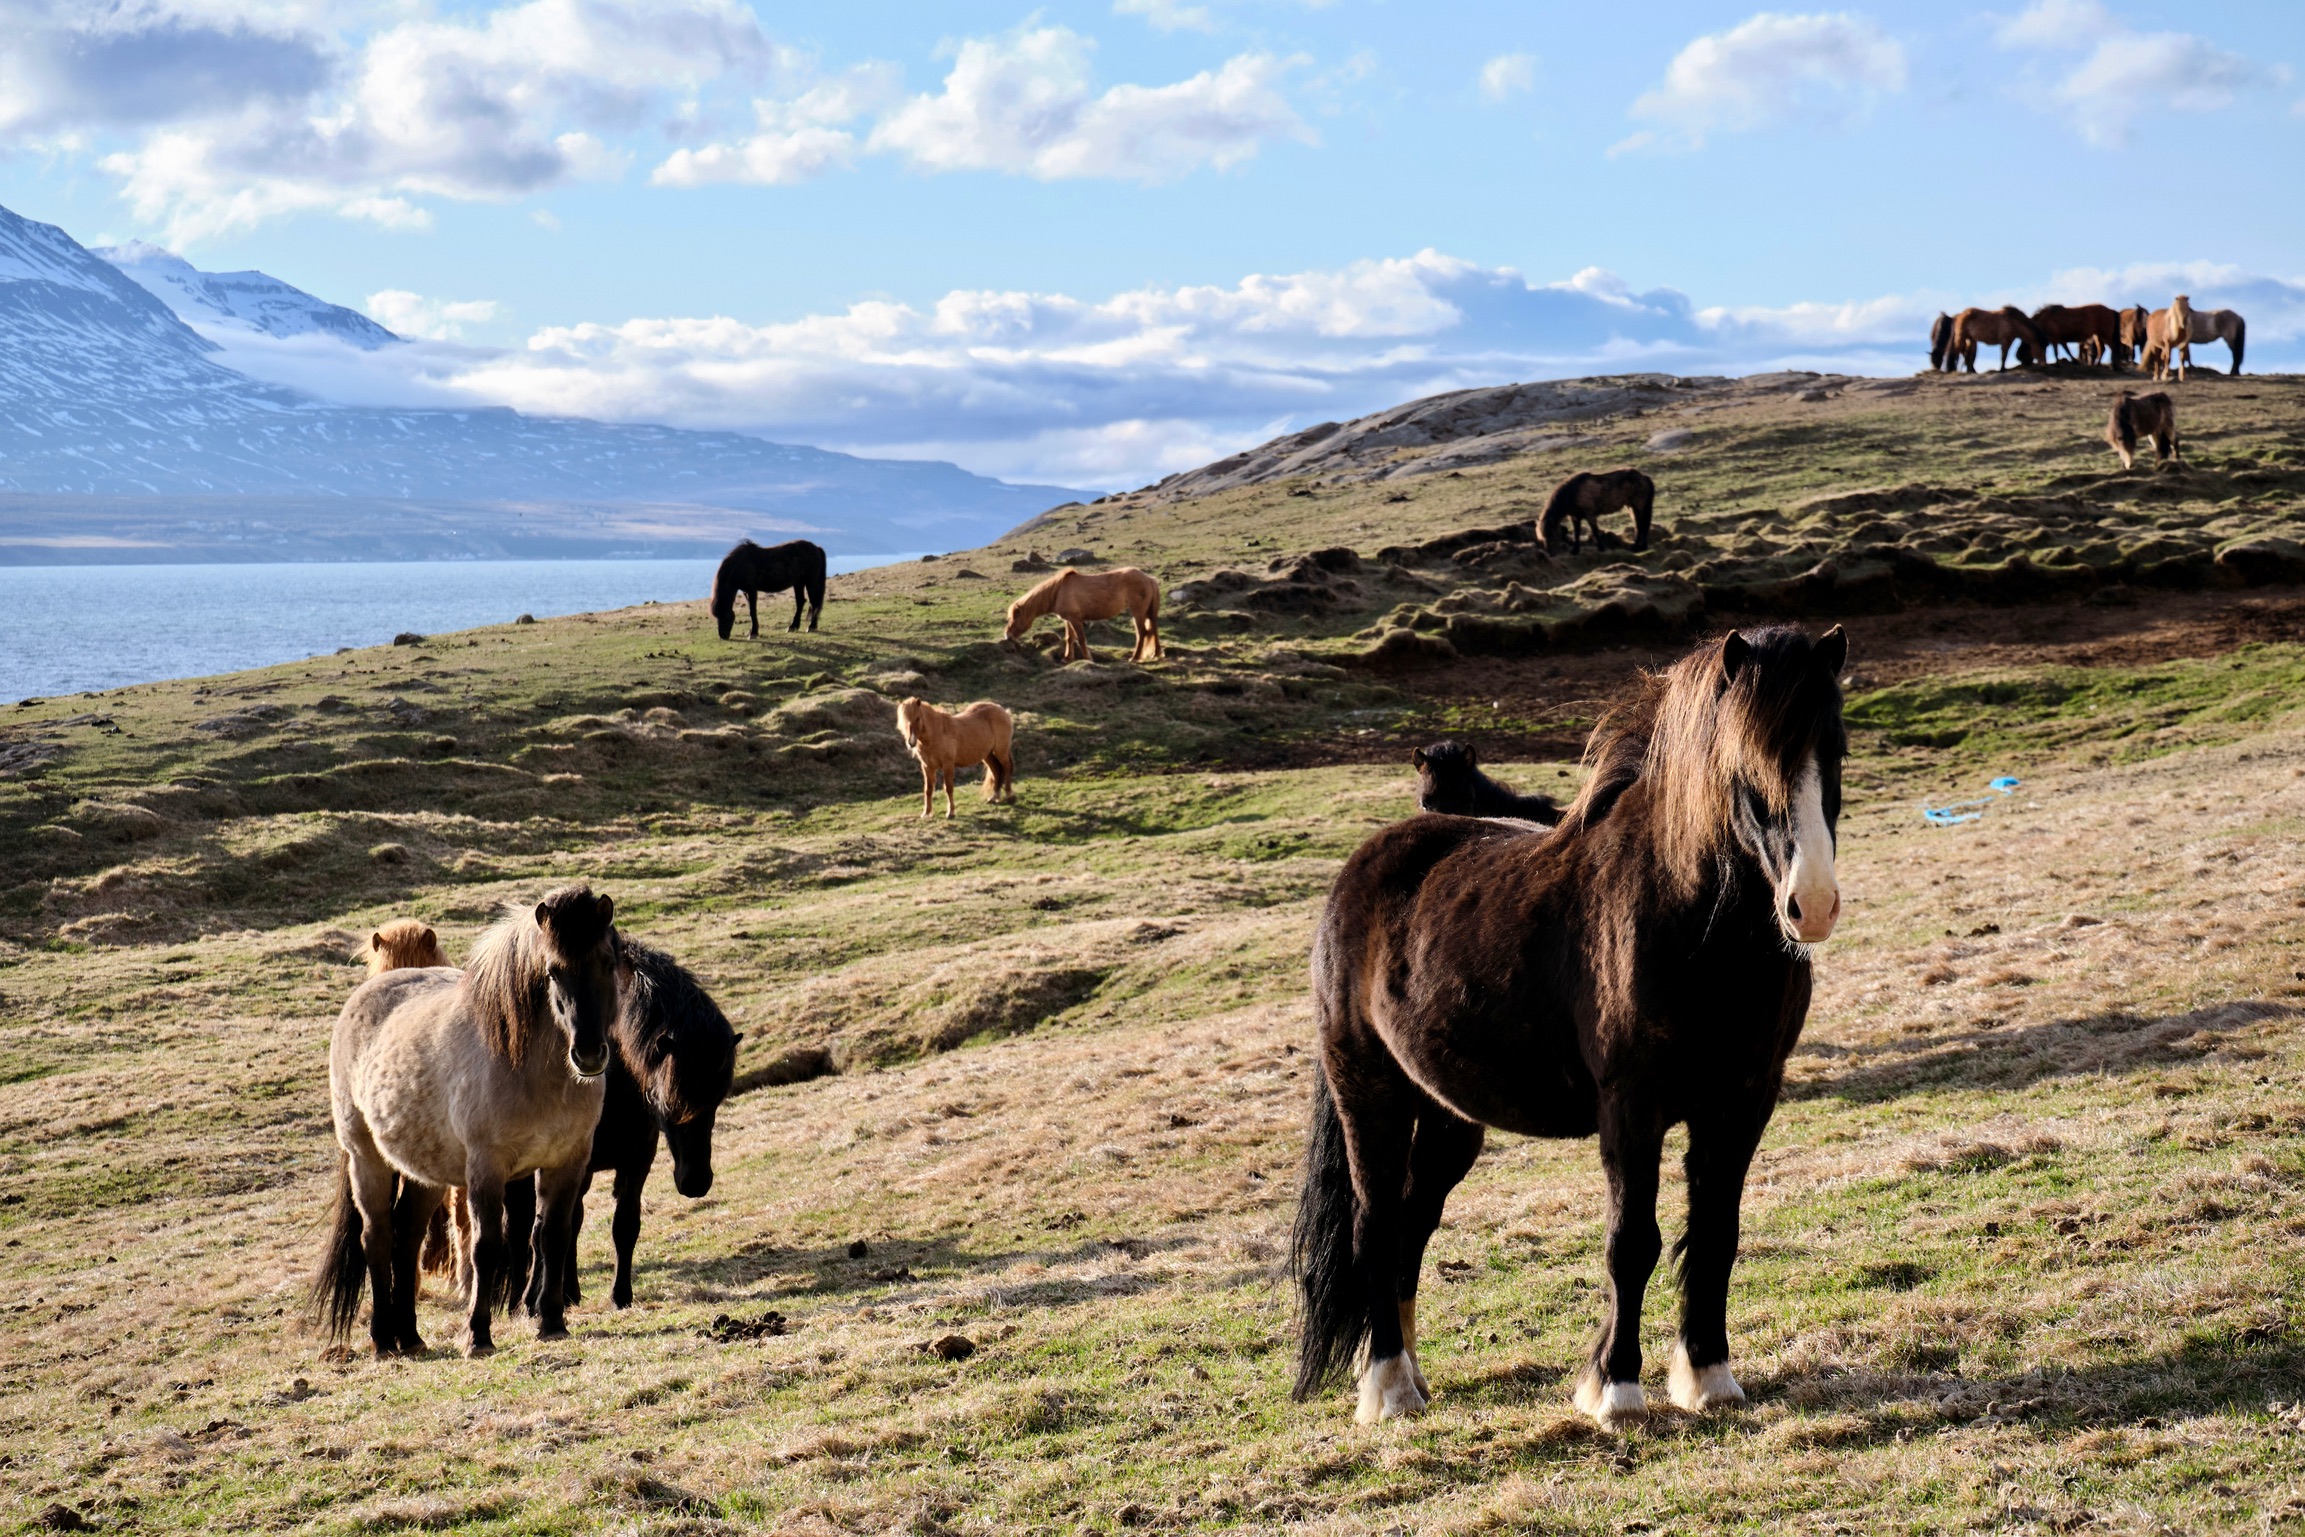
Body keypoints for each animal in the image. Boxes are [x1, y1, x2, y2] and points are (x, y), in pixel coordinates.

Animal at [309, 886, 624, 1359]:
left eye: (606, 962)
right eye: (552, 971)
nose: (588, 1054)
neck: (527, 1066)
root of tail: (364, 996)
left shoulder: (567, 1161)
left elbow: (553, 1236)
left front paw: (552, 1322)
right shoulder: (486, 1168)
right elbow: (486, 1248)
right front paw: (478, 1335)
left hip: (425, 1173)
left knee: (407, 1239)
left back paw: (410, 1337)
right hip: (367, 1159)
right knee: (377, 1238)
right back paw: (383, 1339)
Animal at [490, 939, 742, 1314]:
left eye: (717, 1100)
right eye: (669, 1104)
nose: (696, 1182)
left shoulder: (637, 1161)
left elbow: (625, 1225)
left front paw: (620, 1294)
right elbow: (547, 1228)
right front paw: (539, 1300)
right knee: (522, 1229)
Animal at [1003, 567, 1164, 663]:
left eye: (1014, 618)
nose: (1007, 636)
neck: (1058, 591)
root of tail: (1149, 579)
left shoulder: (1075, 619)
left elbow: (1081, 639)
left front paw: (1087, 658)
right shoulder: (1068, 620)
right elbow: (1069, 638)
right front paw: (1067, 658)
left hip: (1138, 612)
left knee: (1142, 633)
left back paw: (1135, 658)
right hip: (1149, 613)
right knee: (1153, 630)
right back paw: (1155, 654)